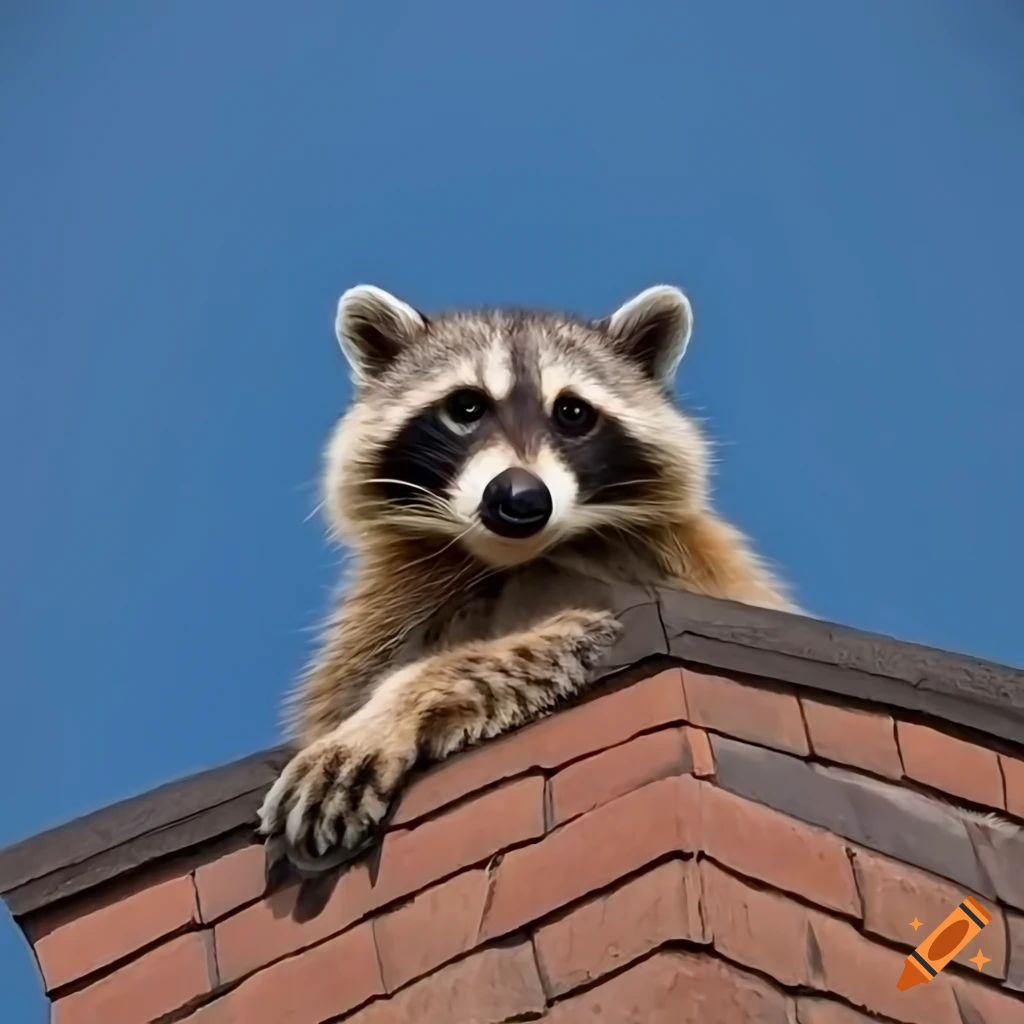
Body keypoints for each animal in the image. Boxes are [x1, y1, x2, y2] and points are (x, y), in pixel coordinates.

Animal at [258, 284, 798, 869]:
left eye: (573, 412)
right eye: (465, 407)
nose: (519, 499)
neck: (512, 558)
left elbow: (546, 638)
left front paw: (390, 708)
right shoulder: (397, 600)